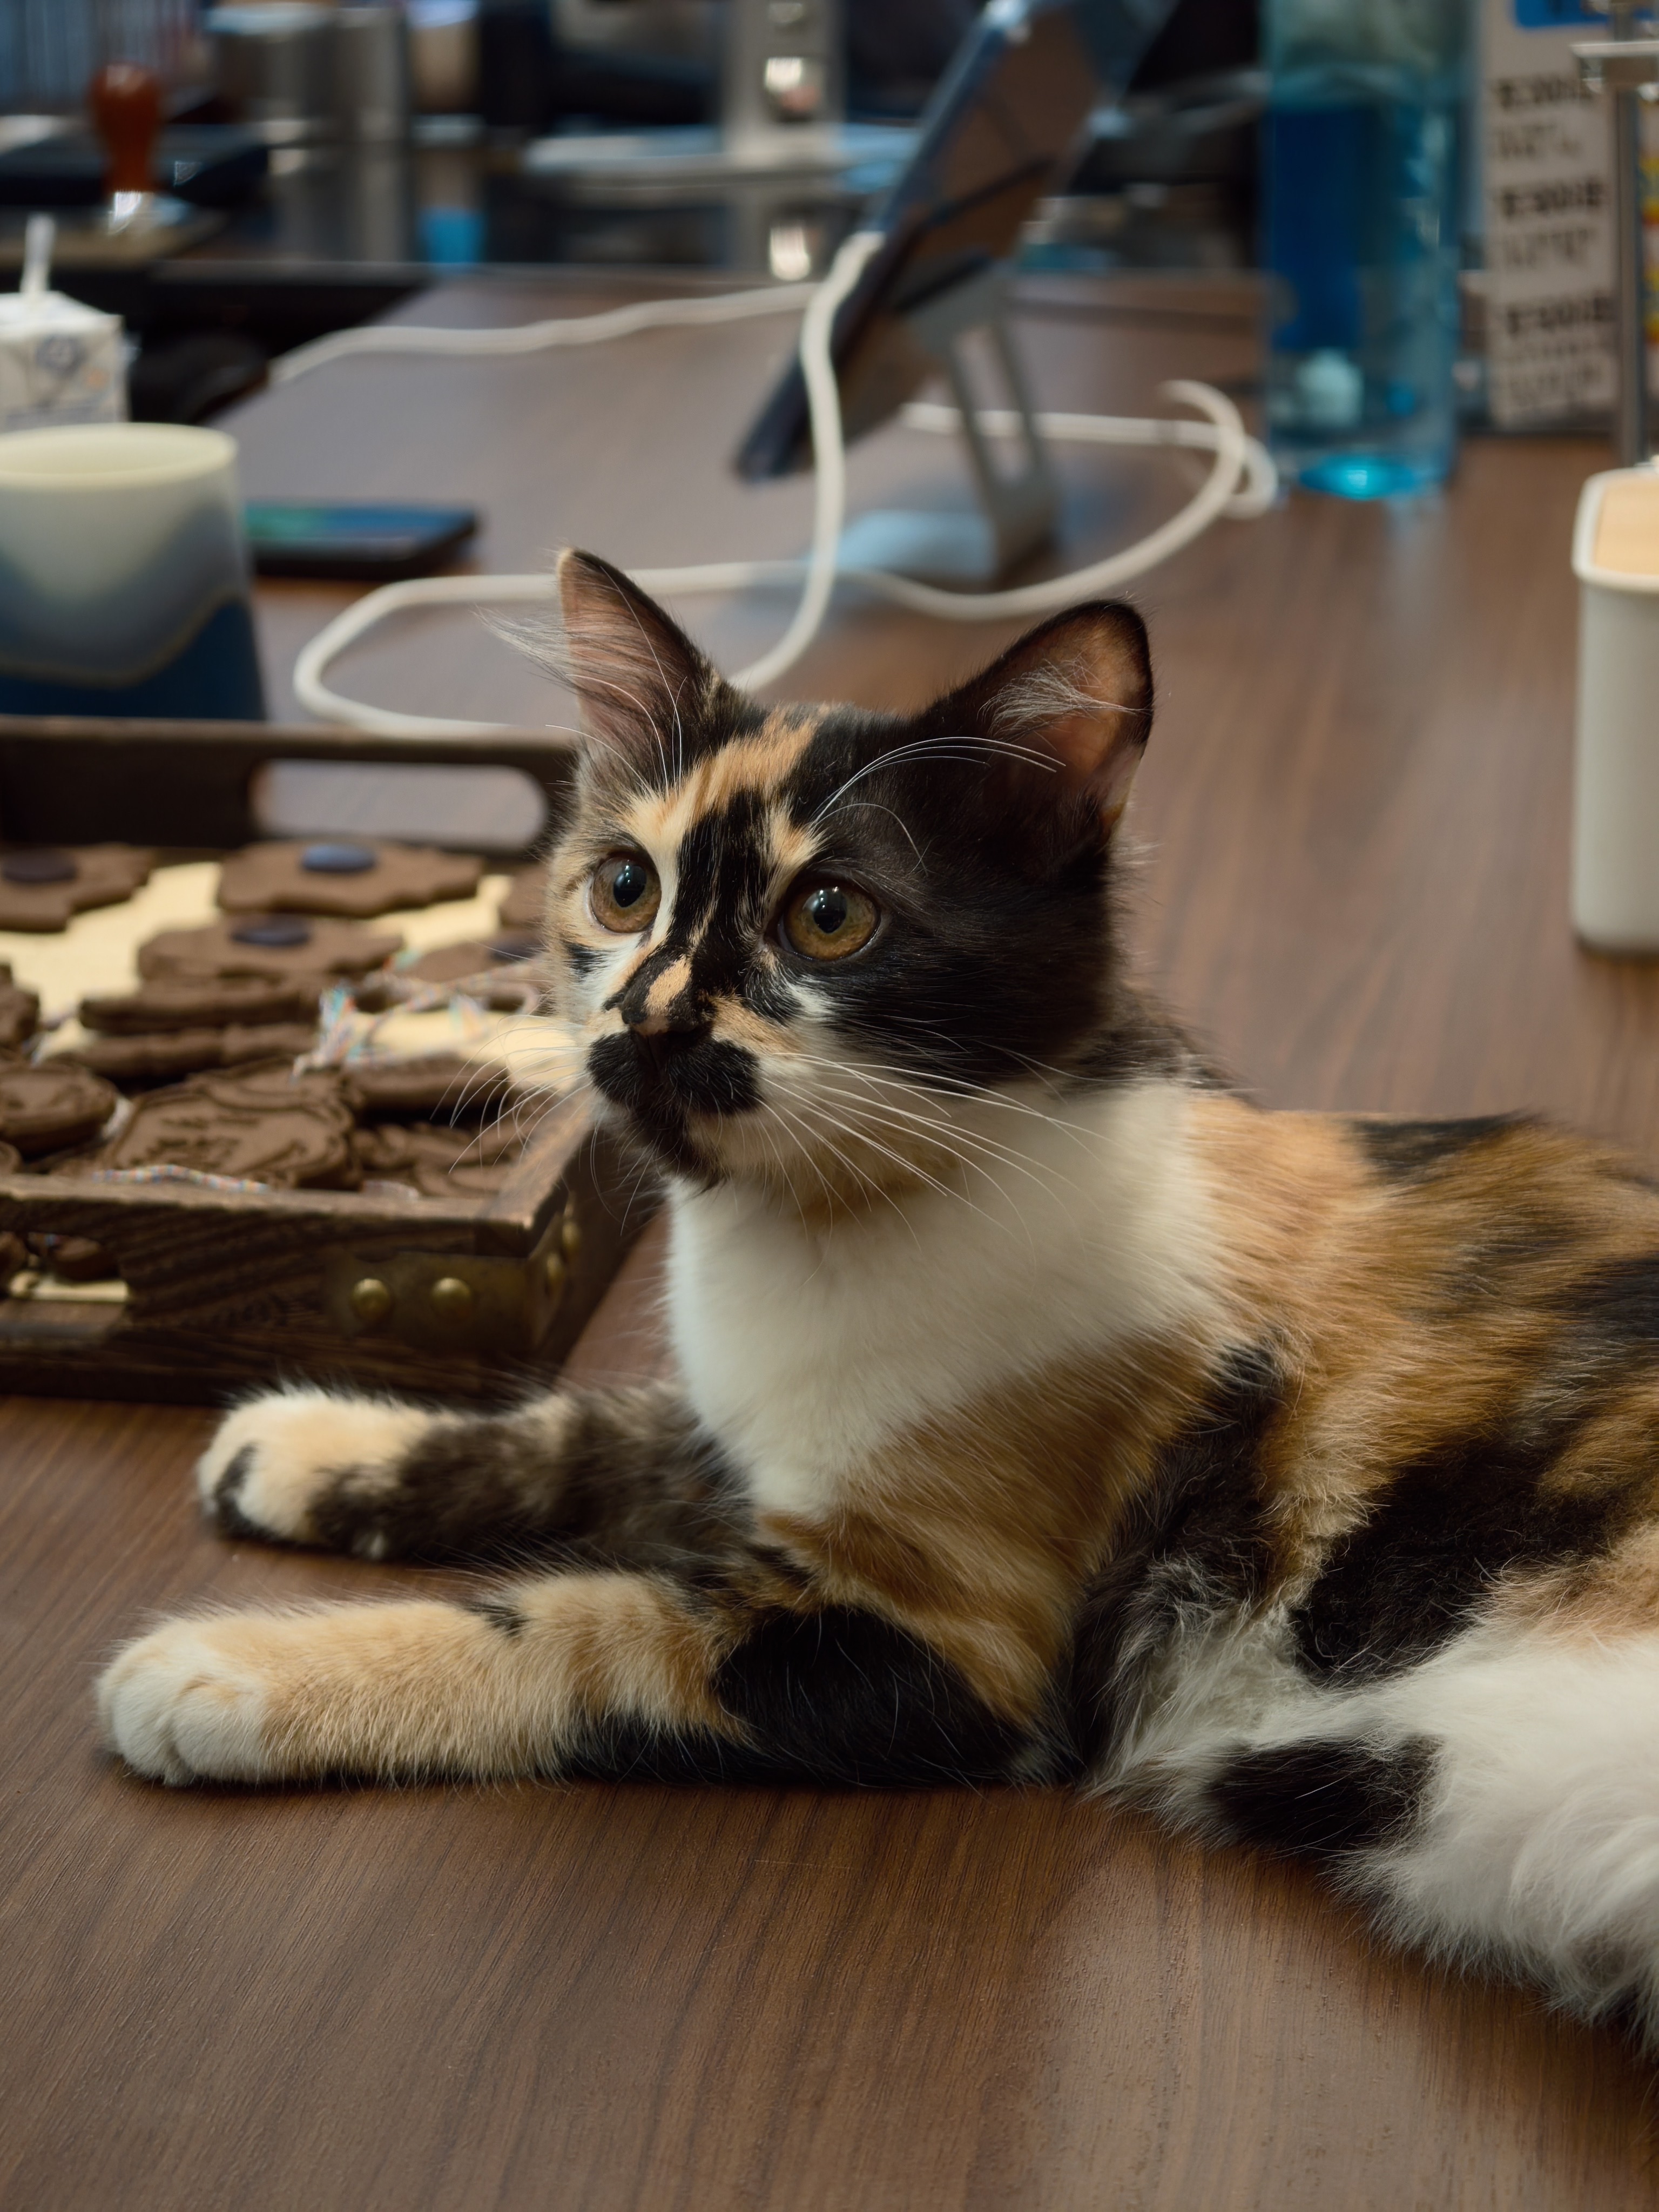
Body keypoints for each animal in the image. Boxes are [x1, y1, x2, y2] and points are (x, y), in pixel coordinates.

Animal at [100, 548, 1659, 2049]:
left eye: (830, 917)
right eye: (623, 889)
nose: (644, 1018)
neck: (813, 1236)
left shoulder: (940, 1640)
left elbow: (560, 1628)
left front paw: (220, 1676)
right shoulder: (734, 1431)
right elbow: (574, 1432)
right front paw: (305, 1448)